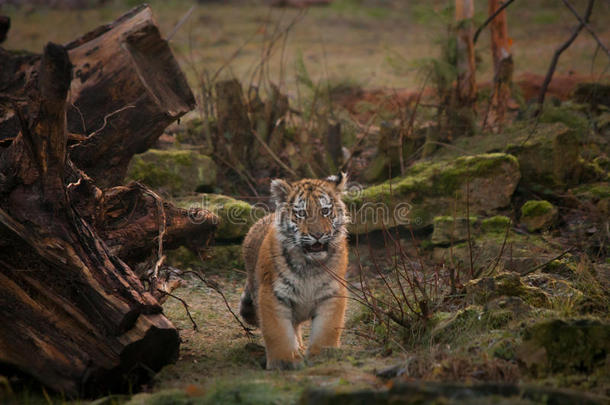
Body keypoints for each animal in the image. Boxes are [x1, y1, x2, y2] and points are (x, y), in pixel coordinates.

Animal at [240, 172, 350, 368]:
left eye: (325, 211)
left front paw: (322, 356)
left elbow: (327, 328)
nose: (318, 235)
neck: (309, 265)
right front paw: (284, 362)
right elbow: (278, 332)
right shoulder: (273, 294)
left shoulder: (332, 293)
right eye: (302, 213)